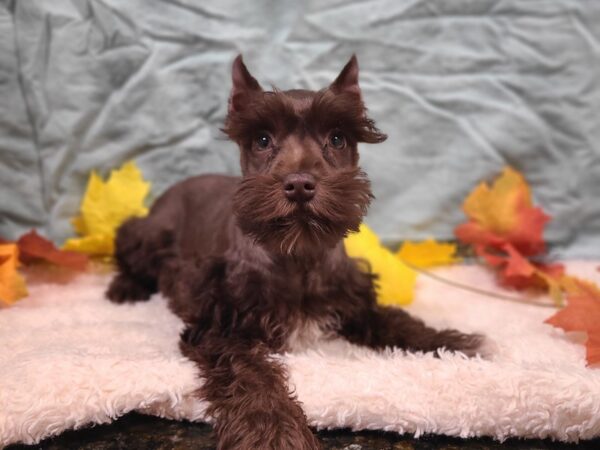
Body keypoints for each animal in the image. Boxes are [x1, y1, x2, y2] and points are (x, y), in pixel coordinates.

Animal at [106, 56, 482, 450]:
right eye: (262, 139)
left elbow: (394, 321)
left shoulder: (354, 301)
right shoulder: (221, 327)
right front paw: (272, 431)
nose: (300, 184)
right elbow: (252, 375)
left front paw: (450, 342)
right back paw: (125, 289)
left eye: (337, 137)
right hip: (150, 235)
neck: (298, 255)